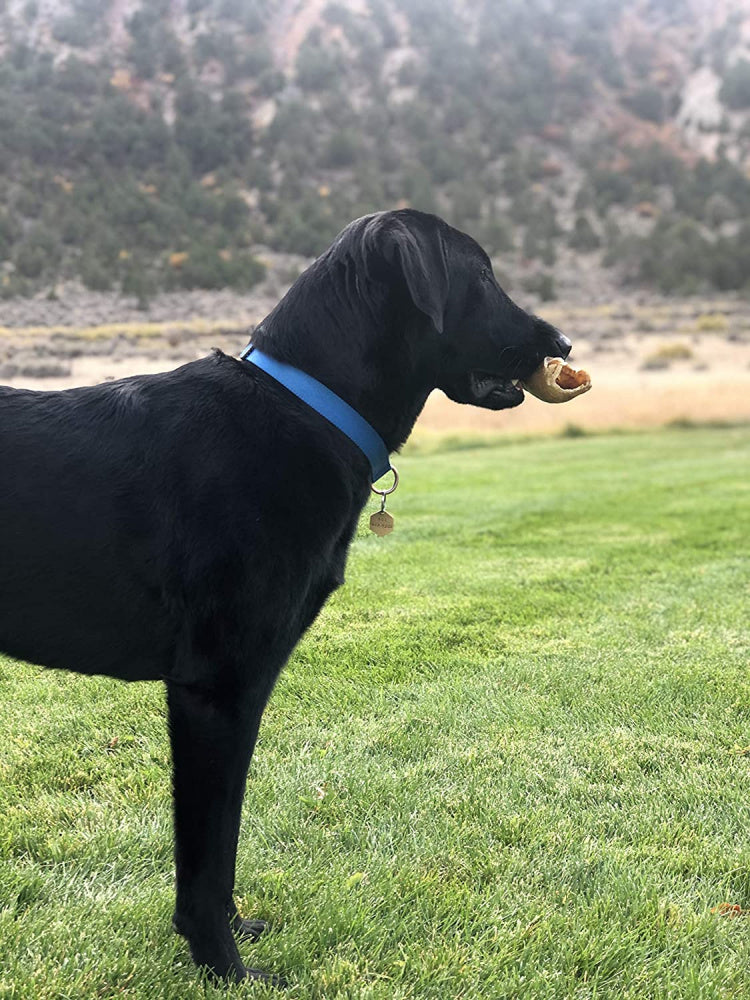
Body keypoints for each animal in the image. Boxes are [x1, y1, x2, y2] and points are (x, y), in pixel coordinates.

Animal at [0, 207, 572, 980]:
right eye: (480, 276)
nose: (563, 343)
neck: (312, 408)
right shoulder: (217, 690)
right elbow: (207, 851)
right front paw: (225, 966)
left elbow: (225, 841)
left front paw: (238, 933)